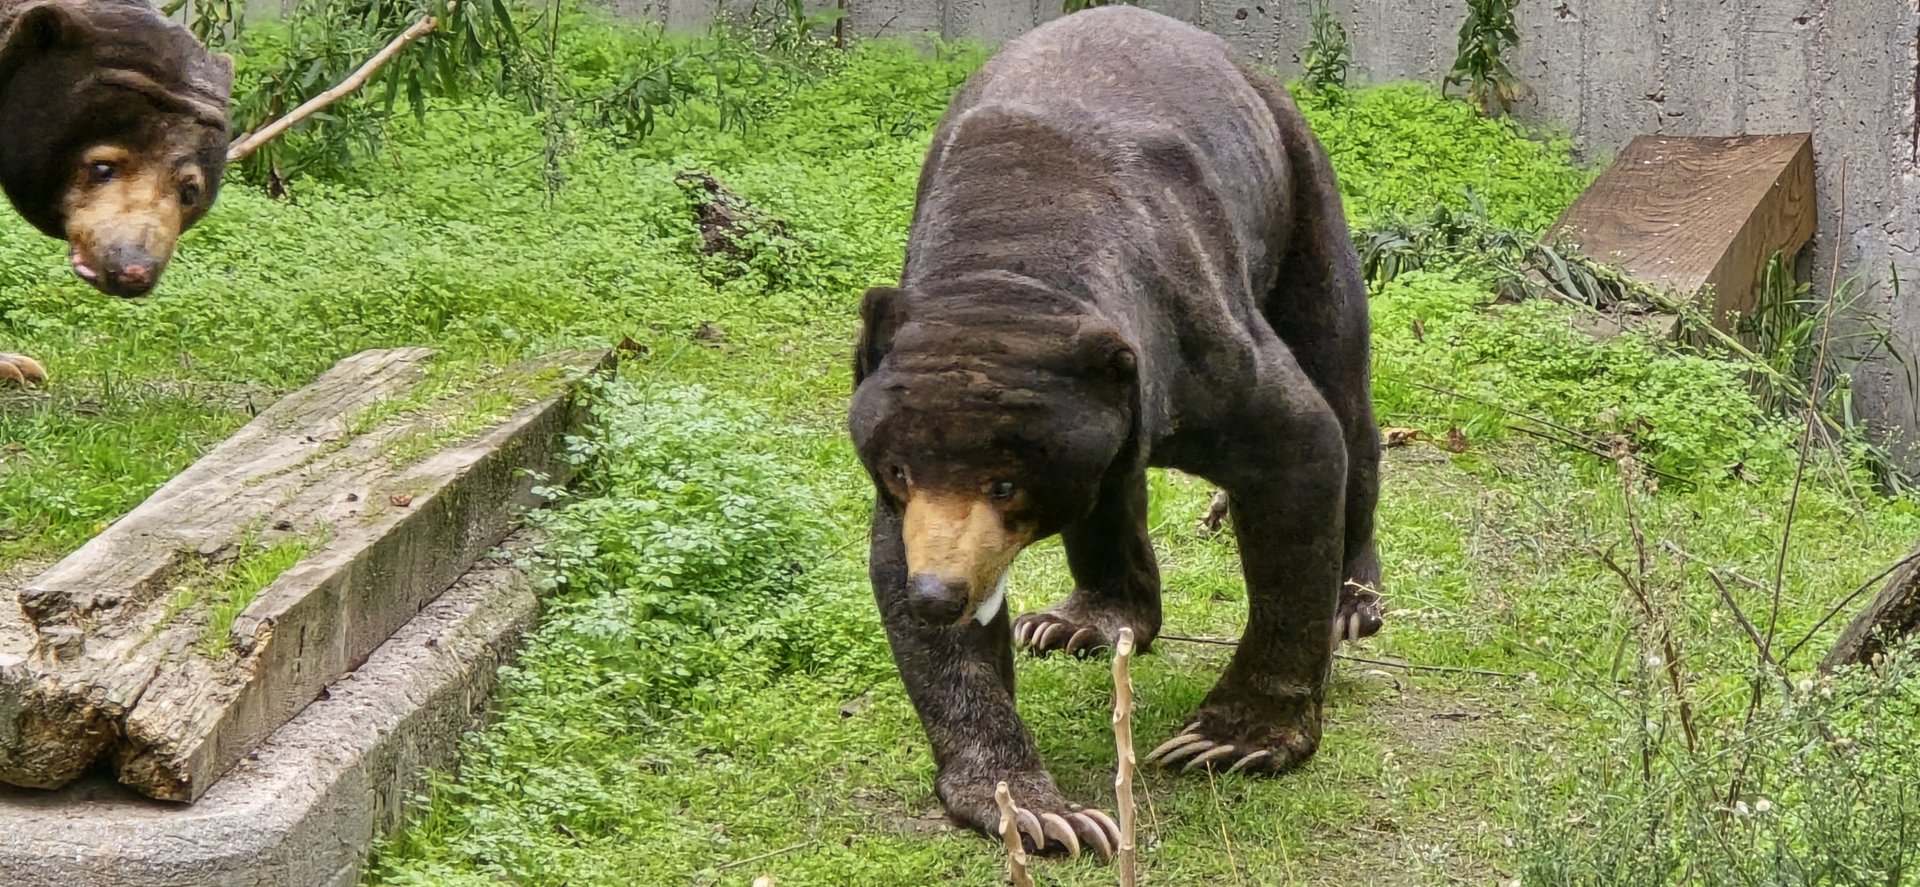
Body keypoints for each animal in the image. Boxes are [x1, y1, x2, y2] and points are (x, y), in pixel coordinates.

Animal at [848, 6, 1381, 860]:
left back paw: (1355, 602)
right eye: (897, 470)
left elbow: (1297, 447)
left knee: (1343, 382)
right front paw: (1040, 811)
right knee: (1113, 491)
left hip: (1301, 192)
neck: (1013, 254)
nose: (941, 594)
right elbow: (903, 577)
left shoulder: (1194, 334)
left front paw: (1229, 739)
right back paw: (1079, 621)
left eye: (1007, 482)